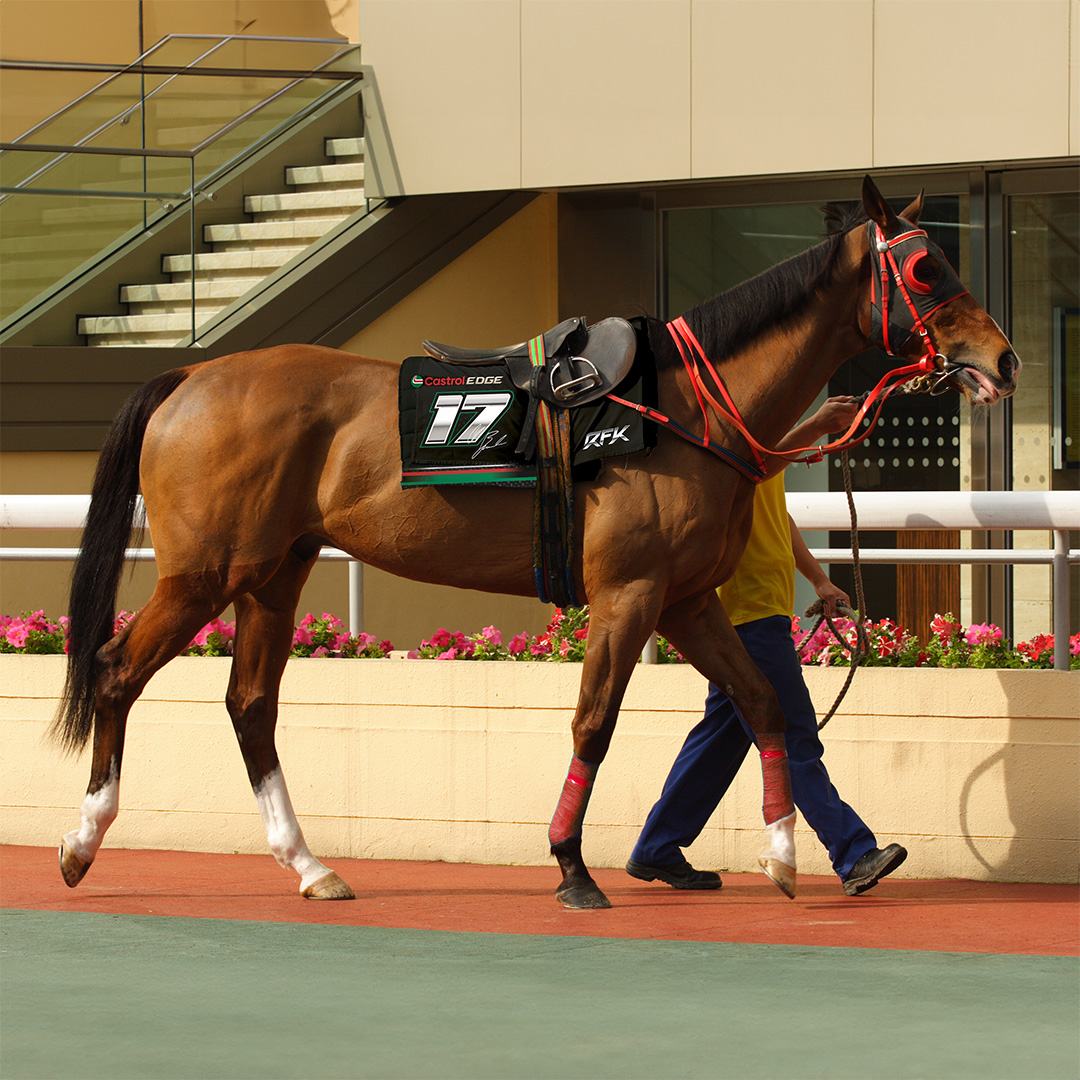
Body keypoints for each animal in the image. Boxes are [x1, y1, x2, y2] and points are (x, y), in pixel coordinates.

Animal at [50, 174, 1015, 902]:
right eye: (926, 267)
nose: (1001, 359)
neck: (680, 409)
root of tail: (187, 377)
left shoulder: (686, 599)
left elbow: (765, 702)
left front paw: (780, 853)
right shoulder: (629, 595)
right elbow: (595, 721)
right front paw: (571, 865)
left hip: (273, 574)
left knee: (250, 705)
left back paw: (310, 865)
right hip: (204, 573)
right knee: (116, 670)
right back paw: (82, 840)